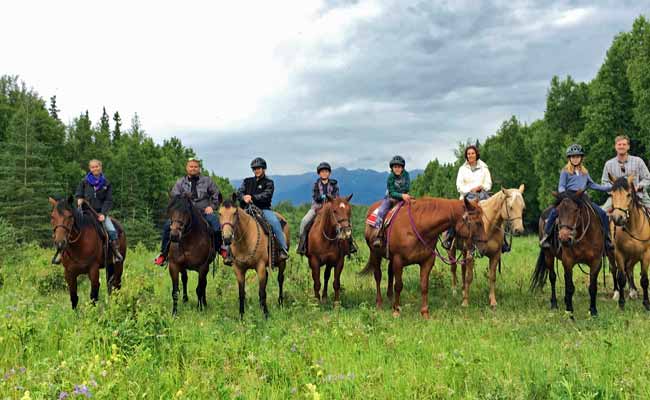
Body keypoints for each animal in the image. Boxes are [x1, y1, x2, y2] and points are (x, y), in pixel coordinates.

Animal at [528, 189, 604, 318]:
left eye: (576, 210)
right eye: (558, 211)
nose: (564, 238)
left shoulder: (596, 262)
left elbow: (592, 287)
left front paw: (593, 311)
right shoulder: (568, 261)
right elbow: (569, 287)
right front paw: (569, 312)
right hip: (548, 255)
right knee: (552, 277)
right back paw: (554, 304)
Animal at [608, 175, 648, 310]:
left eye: (628, 194)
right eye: (612, 194)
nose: (617, 218)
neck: (633, 227)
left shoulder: (645, 254)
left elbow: (644, 279)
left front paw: (646, 303)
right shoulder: (619, 253)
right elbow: (621, 277)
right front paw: (621, 303)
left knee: (629, 269)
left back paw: (633, 291)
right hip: (611, 254)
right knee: (614, 269)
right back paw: (617, 293)